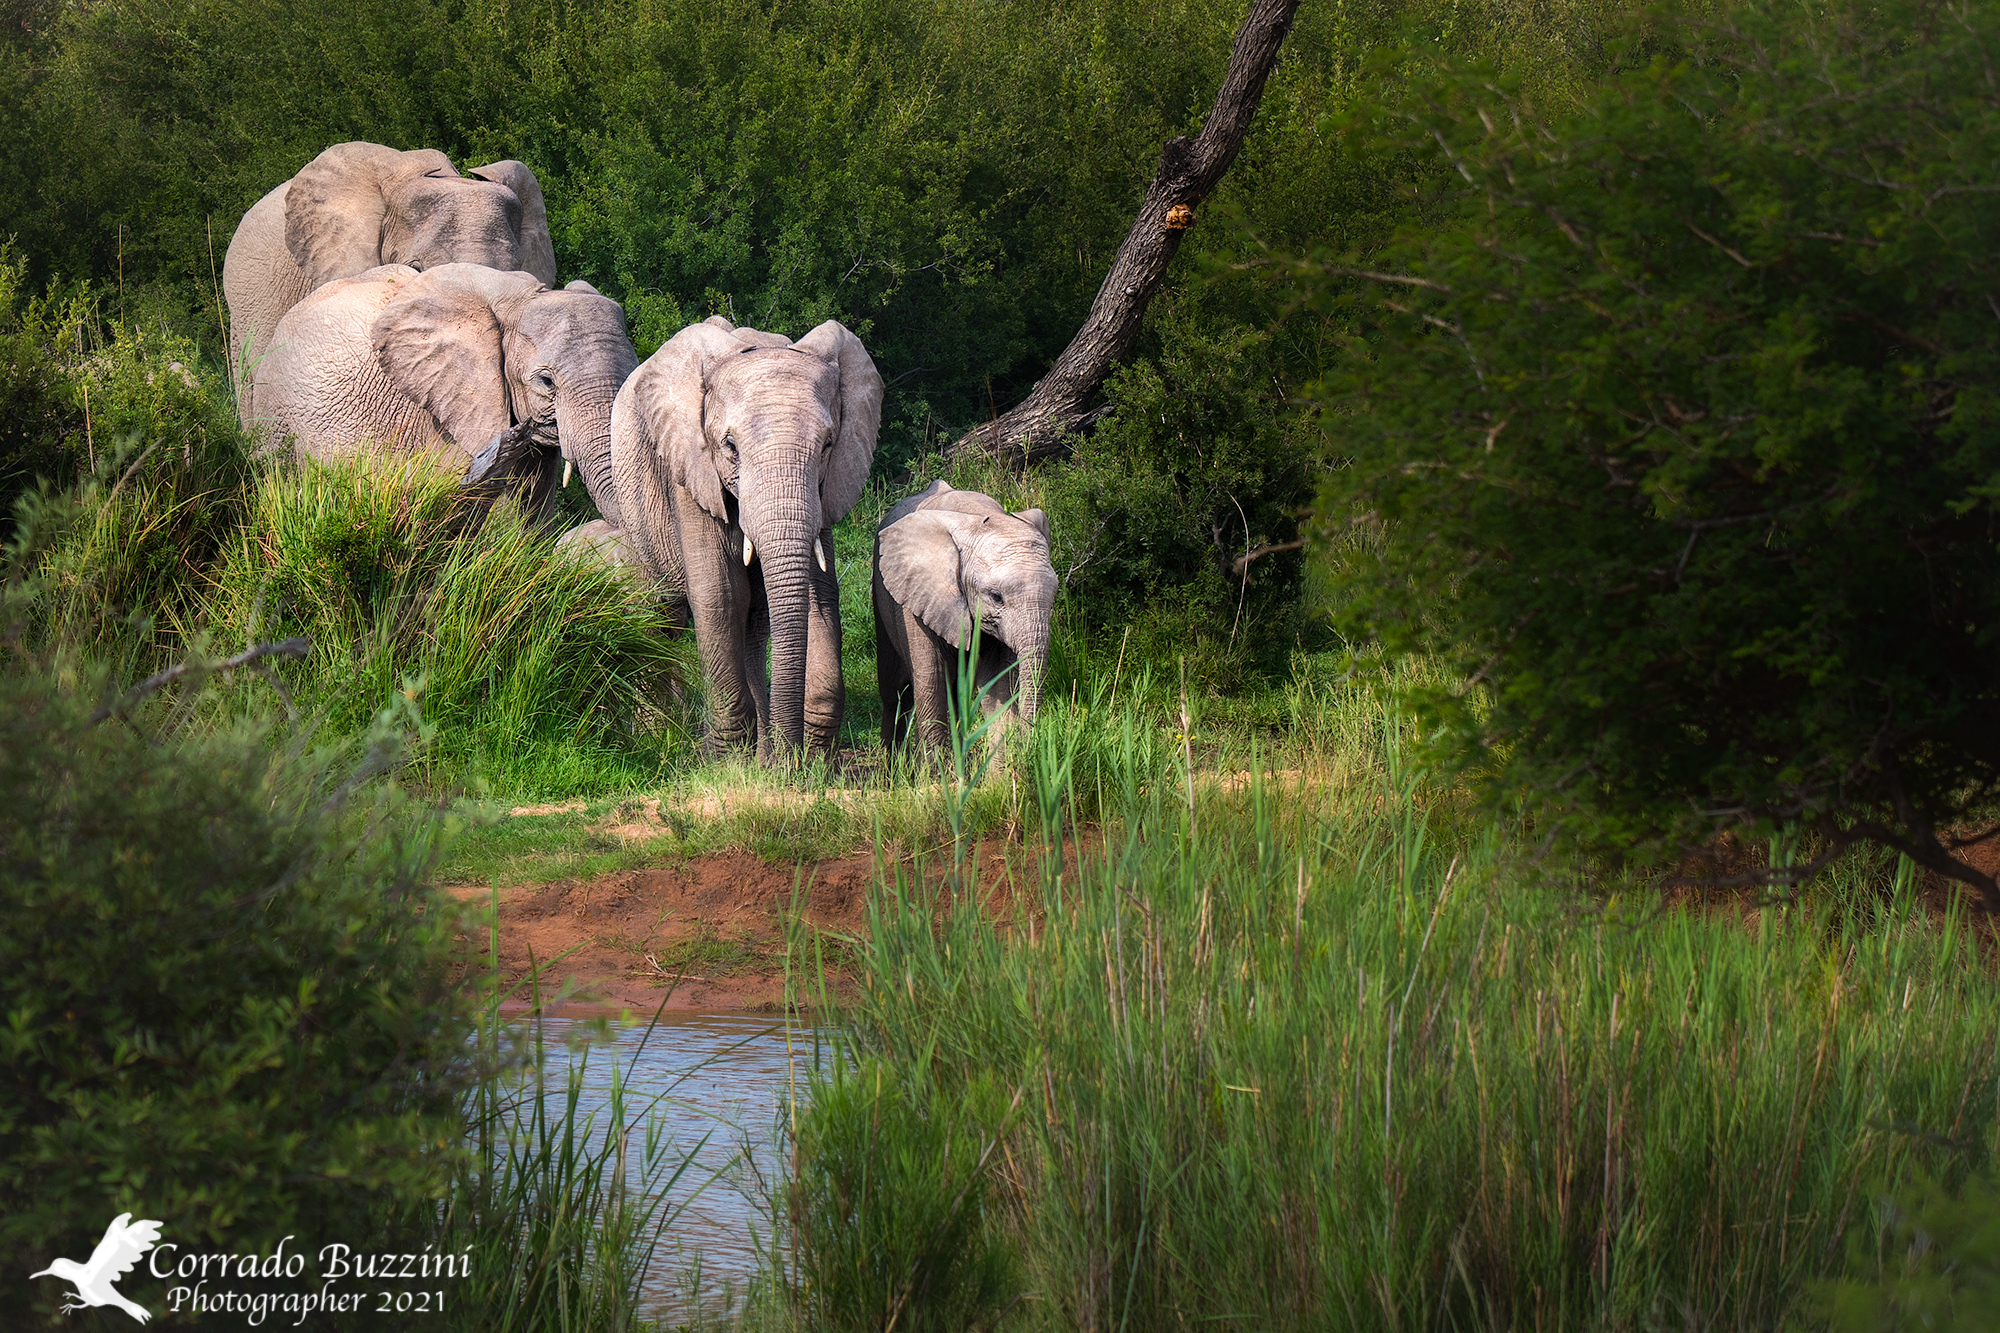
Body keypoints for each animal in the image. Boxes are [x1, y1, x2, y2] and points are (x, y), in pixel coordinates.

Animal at [609, 316, 883, 764]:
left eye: (828, 445)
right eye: (730, 446)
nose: (790, 762)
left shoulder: (825, 490)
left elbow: (820, 592)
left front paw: (808, 759)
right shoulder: (691, 470)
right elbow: (720, 593)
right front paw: (726, 763)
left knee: (754, 624)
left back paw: (763, 751)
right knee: (662, 615)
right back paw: (665, 739)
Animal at [873, 481, 1057, 756]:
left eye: (1055, 595)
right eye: (996, 597)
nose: (1028, 743)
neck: (977, 517)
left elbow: (997, 689)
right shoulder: (916, 599)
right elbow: (933, 682)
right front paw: (937, 769)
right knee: (894, 692)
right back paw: (892, 765)